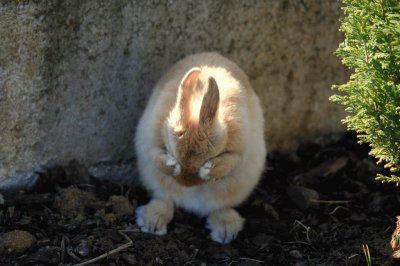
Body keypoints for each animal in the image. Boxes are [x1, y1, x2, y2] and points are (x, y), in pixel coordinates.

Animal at [134, 52, 266, 243]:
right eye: (173, 153)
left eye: (209, 157)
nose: (186, 184)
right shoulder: (151, 139)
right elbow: (155, 155)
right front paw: (172, 165)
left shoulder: (240, 148)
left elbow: (232, 161)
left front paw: (208, 170)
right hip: (155, 180)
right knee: (165, 199)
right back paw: (152, 221)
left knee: (220, 207)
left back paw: (226, 231)